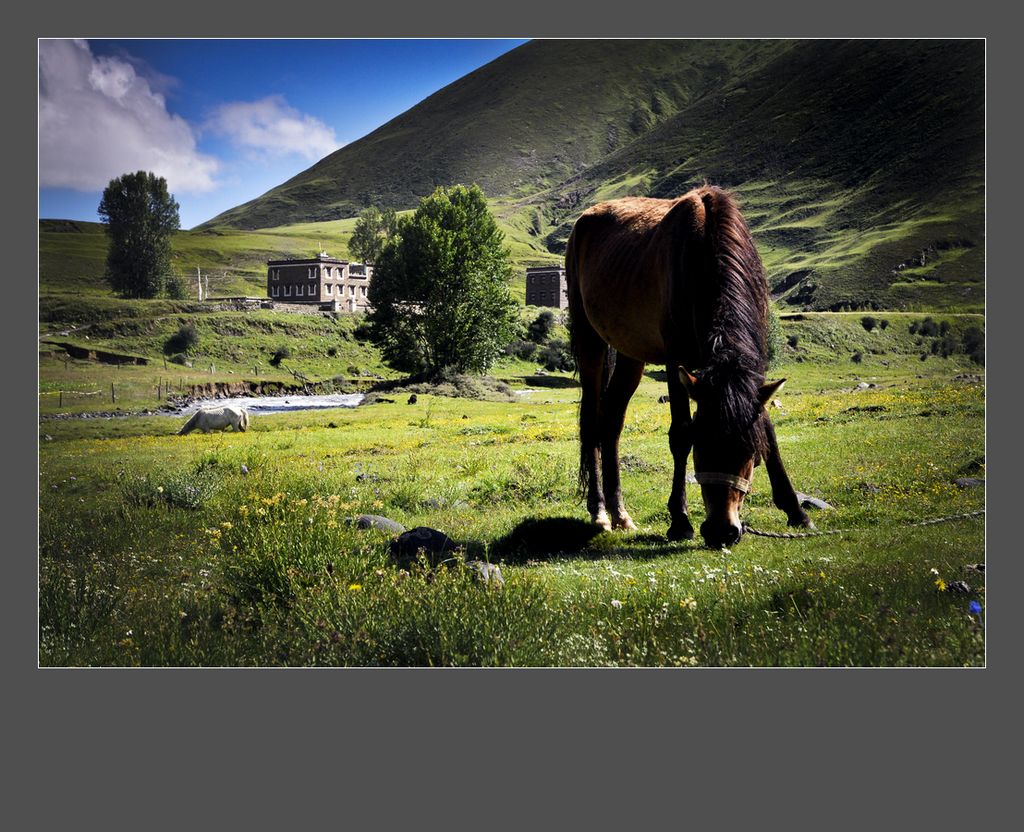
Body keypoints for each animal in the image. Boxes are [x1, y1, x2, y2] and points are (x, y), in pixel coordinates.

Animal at [565, 183, 811, 545]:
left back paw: (620, 514)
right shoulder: (675, 360)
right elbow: (679, 433)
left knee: (611, 423)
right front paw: (680, 520)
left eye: (749, 453)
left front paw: (796, 510)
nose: (723, 531)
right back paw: (599, 513)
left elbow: (768, 428)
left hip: (631, 354)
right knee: (591, 424)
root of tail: (584, 220)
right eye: (702, 444)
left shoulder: (752, 373)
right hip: (590, 341)